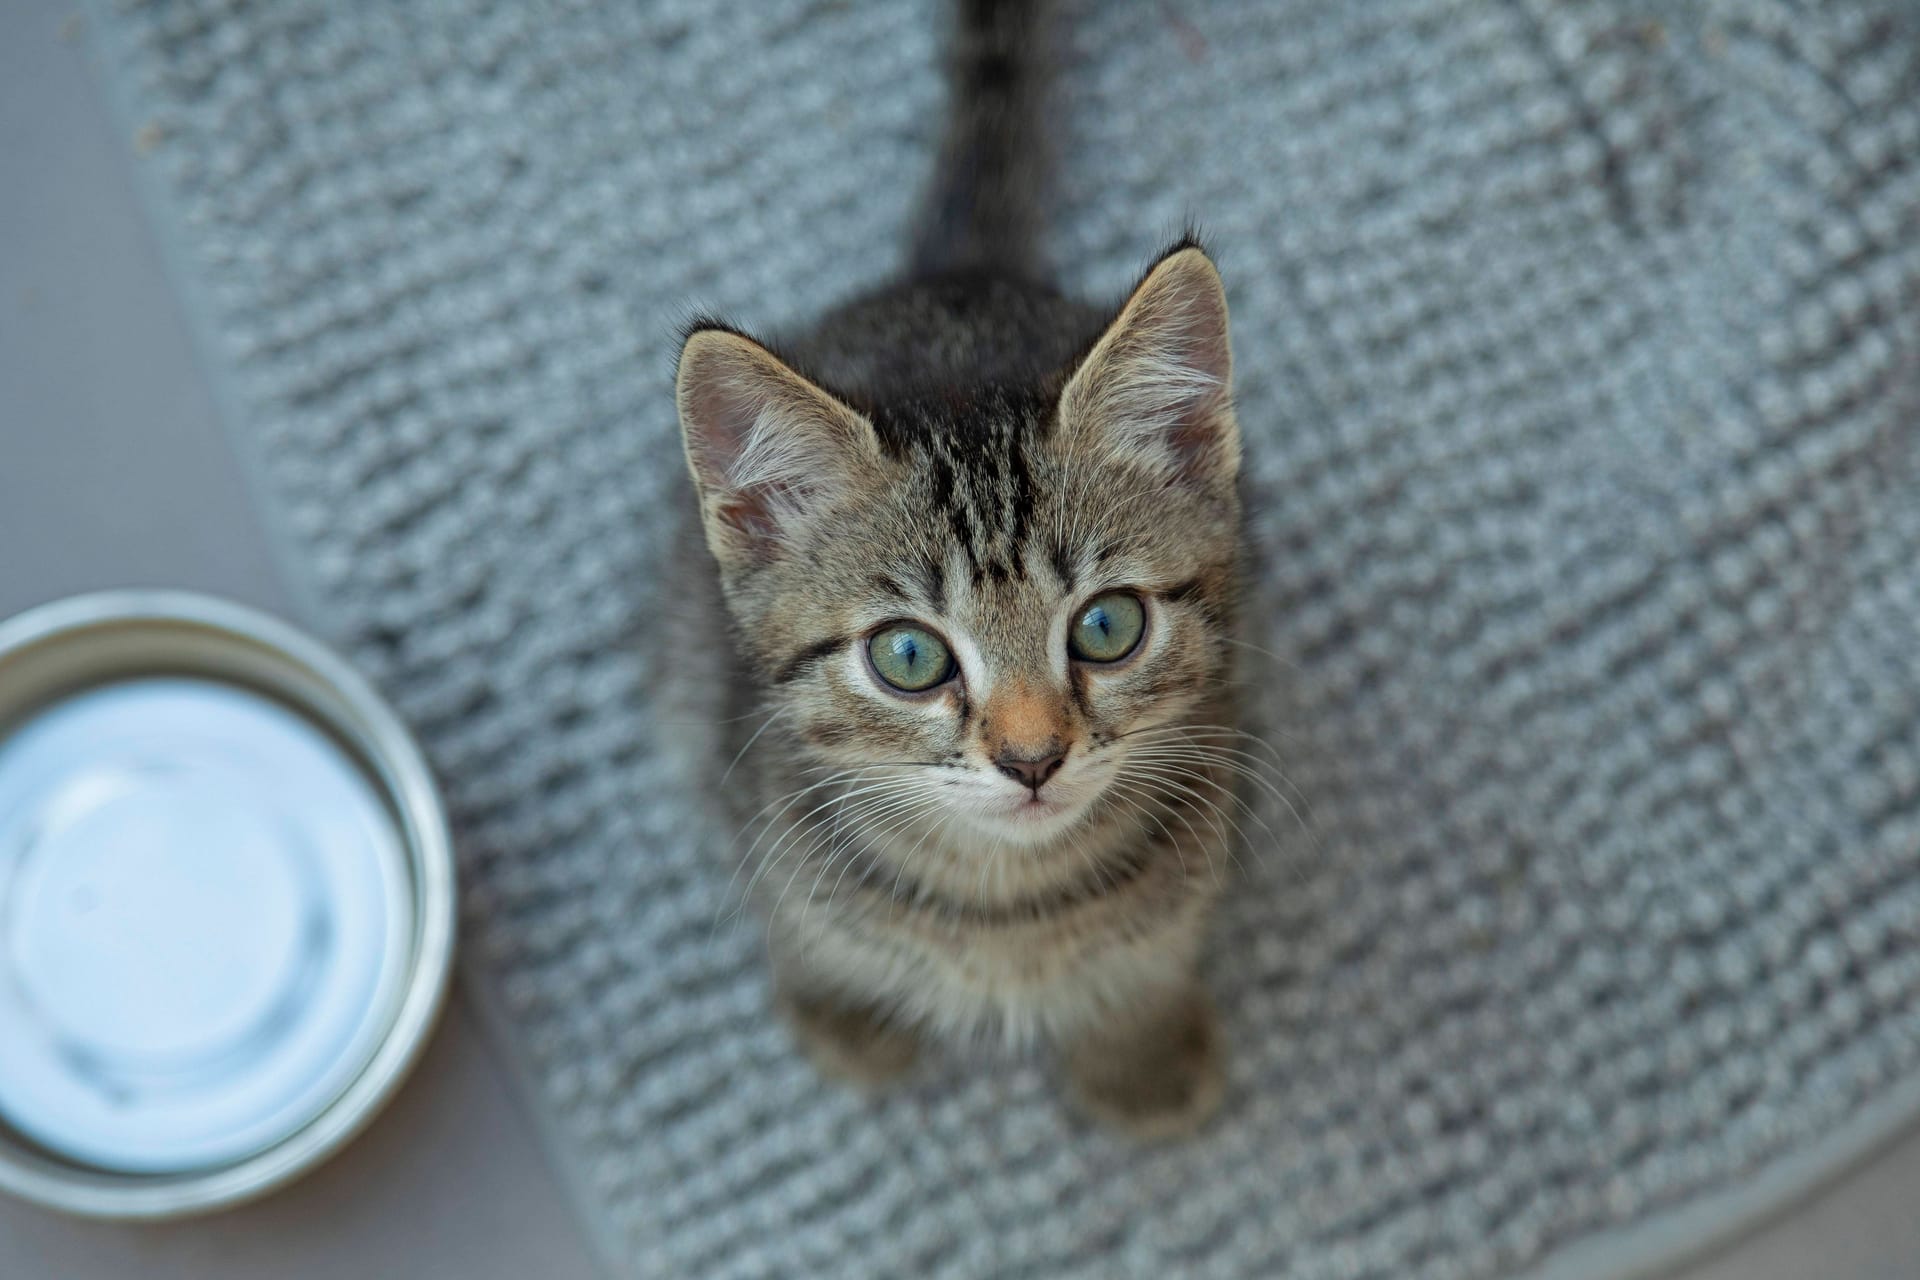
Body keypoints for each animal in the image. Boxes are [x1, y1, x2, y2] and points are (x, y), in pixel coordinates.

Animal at [672, 0, 1244, 1143]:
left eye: (1108, 626)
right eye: (908, 657)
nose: (1032, 758)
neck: (1007, 902)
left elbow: (1151, 950)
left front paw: (1140, 1052)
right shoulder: (751, 792)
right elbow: (804, 925)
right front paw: (843, 1014)